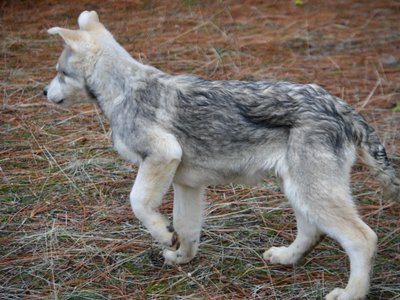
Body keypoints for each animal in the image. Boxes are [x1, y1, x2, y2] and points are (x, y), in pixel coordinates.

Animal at [45, 11, 398, 300]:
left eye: (60, 73)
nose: (44, 92)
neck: (123, 90)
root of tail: (339, 105)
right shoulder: (186, 184)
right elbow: (186, 229)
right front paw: (180, 256)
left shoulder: (161, 155)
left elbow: (139, 203)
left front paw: (163, 235)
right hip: (298, 189)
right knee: (312, 232)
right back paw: (285, 258)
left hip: (312, 192)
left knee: (363, 238)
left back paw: (351, 293)